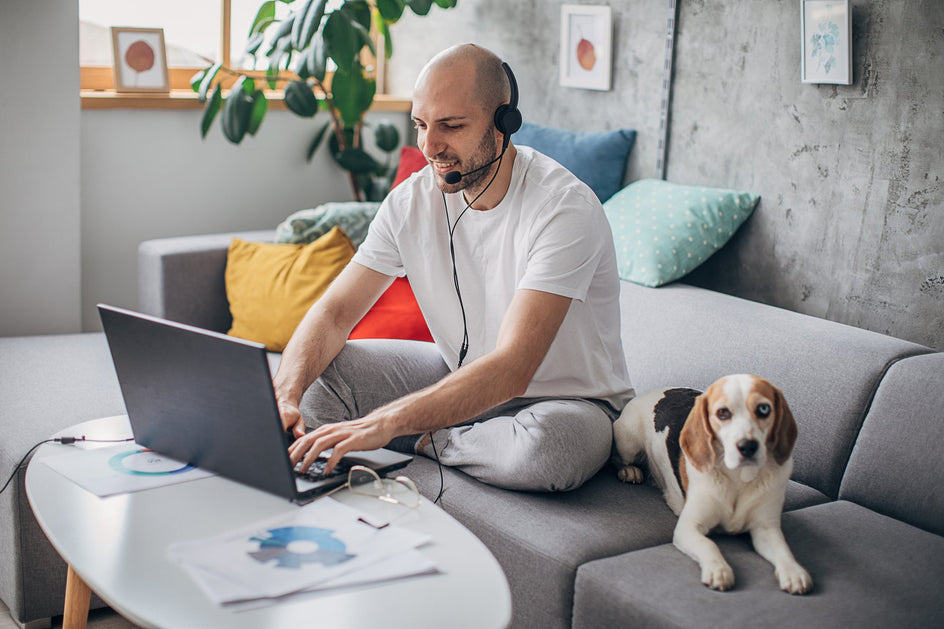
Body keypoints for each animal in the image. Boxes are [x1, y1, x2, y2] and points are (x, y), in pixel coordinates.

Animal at [612, 372, 812, 592]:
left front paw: (794, 571)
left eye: (764, 409)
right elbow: (709, 544)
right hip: (628, 443)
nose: (747, 446)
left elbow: (783, 548)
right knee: (619, 459)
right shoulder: (688, 527)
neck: (738, 477)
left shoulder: (766, 529)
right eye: (722, 413)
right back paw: (629, 471)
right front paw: (718, 569)